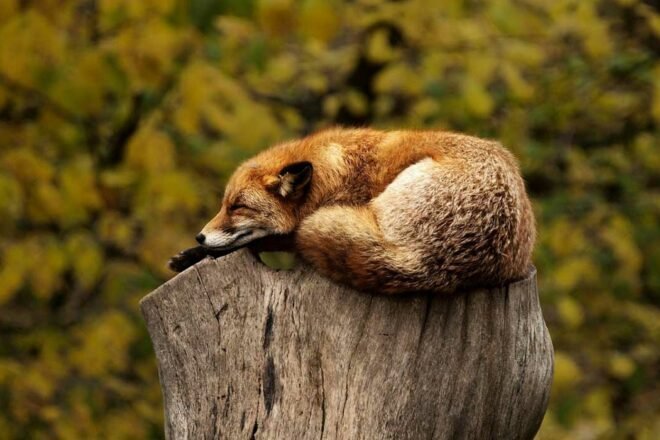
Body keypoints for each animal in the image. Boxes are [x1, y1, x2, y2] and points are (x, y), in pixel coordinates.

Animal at [169, 127, 536, 294]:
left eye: (238, 207)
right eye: (224, 204)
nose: (200, 236)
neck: (335, 174)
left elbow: (268, 239)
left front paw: (196, 254)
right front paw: (191, 254)